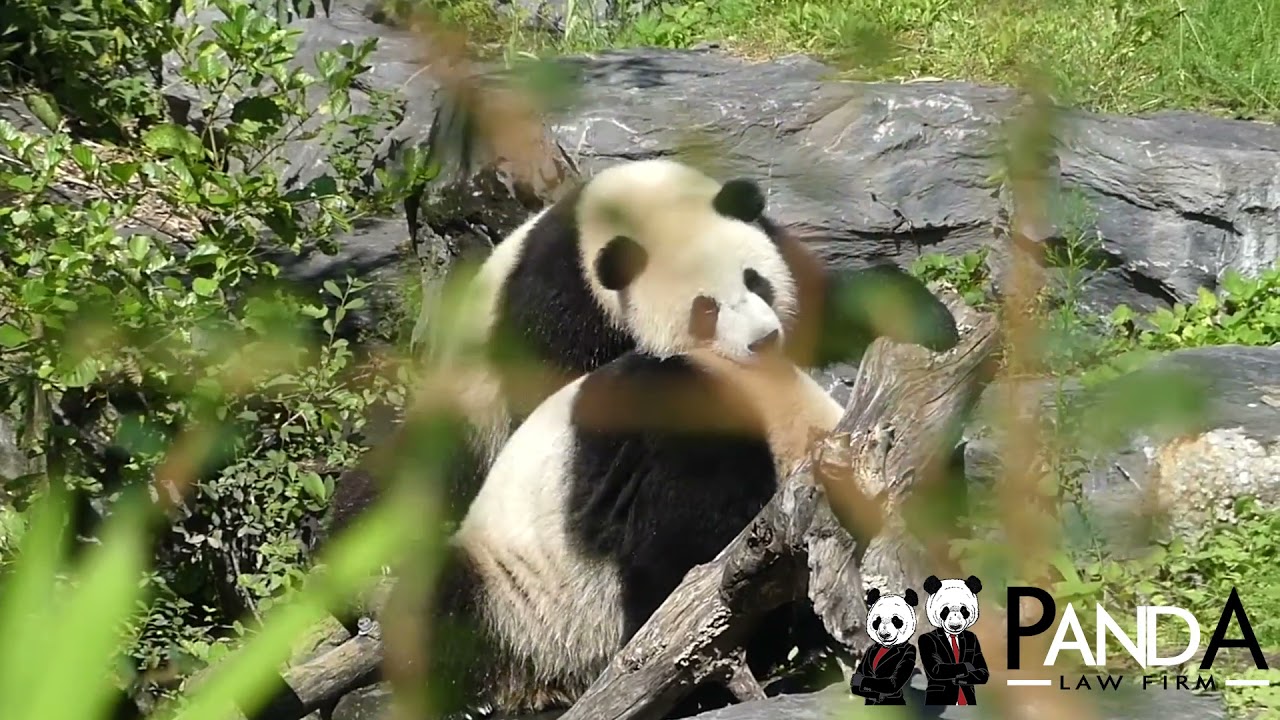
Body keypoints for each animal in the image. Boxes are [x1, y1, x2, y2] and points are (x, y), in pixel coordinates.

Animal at [323, 158, 961, 536]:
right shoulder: (563, 307)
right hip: (463, 413)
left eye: (756, 281)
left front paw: (928, 319)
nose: (764, 342)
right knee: (401, 489)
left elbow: (822, 305)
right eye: (705, 311)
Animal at [412, 219, 961, 720]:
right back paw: (474, 703)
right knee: (445, 614)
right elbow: (679, 552)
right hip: (506, 580)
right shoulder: (691, 432)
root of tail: (546, 679)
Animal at [919, 575, 990, 706]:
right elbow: (937, 668)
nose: (955, 626)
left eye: (964, 610)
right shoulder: (925, 641)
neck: (952, 635)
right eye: (945, 610)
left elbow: (982, 670)